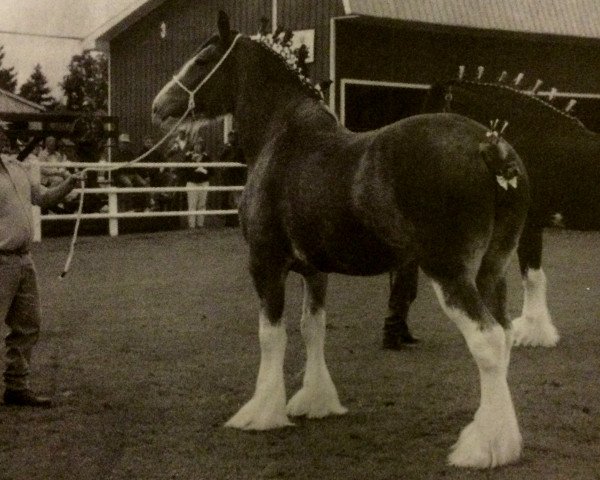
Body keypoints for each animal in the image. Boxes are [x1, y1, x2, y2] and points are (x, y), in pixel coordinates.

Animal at [151, 12, 528, 468]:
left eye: (203, 60)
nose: (159, 105)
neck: (282, 136)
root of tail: (491, 148)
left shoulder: (265, 263)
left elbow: (271, 334)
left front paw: (262, 412)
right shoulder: (315, 269)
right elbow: (312, 328)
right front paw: (315, 401)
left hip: (450, 272)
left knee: (487, 340)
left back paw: (481, 448)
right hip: (493, 269)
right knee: (504, 335)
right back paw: (504, 442)